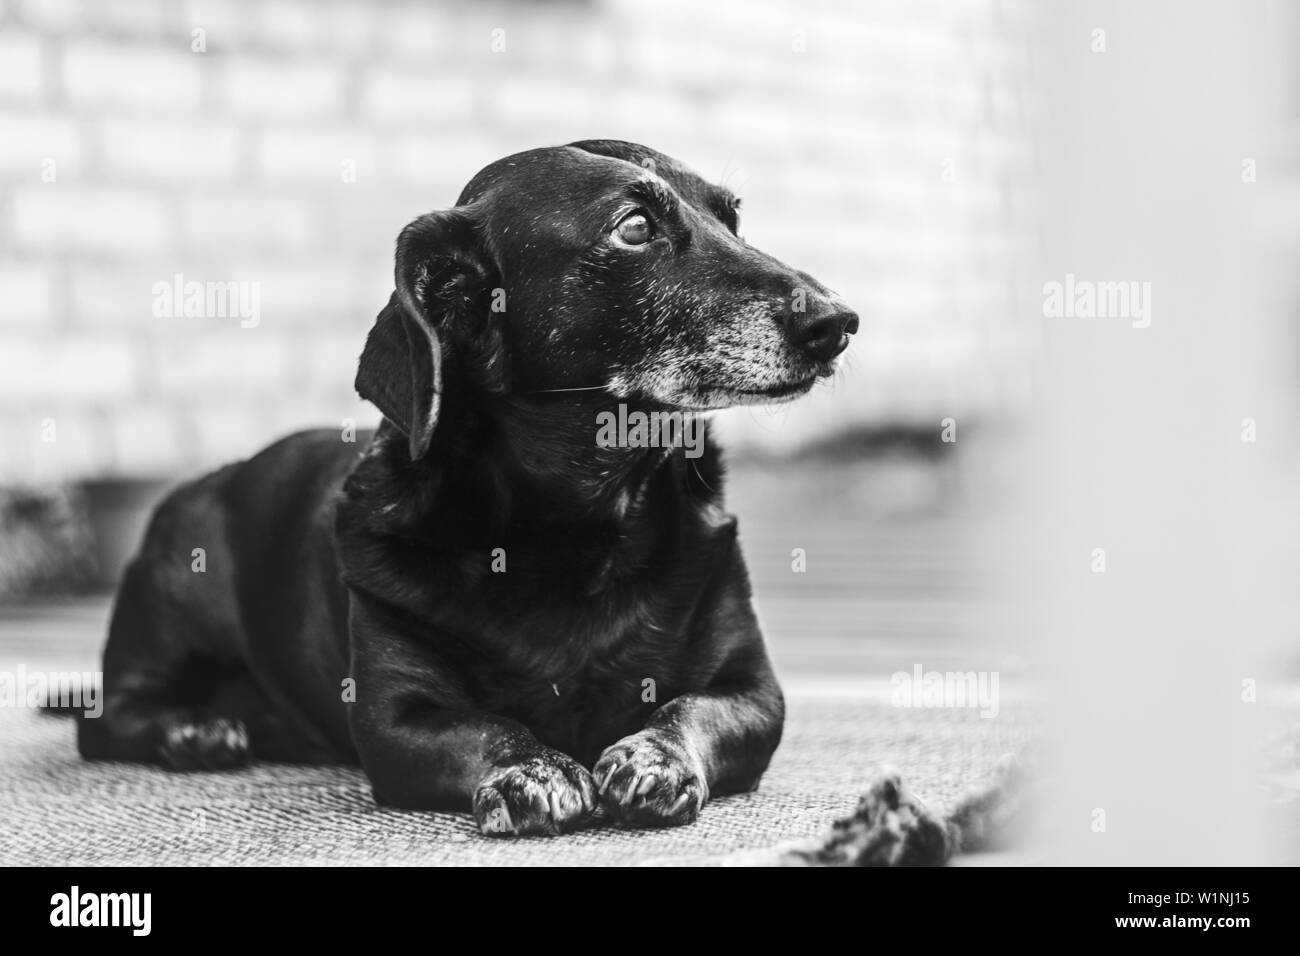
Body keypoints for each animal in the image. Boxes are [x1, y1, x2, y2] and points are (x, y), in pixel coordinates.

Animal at [81, 140, 852, 837]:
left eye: (733, 218)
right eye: (634, 227)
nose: (838, 323)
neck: (582, 520)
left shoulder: (751, 692)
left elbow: (688, 709)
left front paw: (654, 757)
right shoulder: (396, 720)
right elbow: (488, 727)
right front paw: (530, 768)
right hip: (179, 596)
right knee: (106, 718)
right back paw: (196, 730)